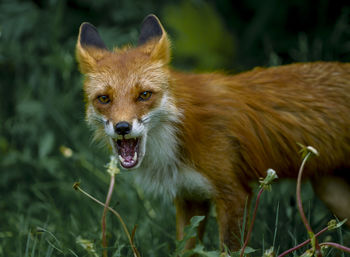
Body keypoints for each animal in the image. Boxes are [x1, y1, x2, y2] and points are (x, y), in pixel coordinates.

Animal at [76, 14, 350, 250]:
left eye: (144, 95)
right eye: (104, 98)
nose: (122, 127)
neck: (179, 130)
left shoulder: (233, 193)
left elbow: (229, 250)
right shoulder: (189, 197)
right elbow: (185, 249)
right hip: (331, 191)